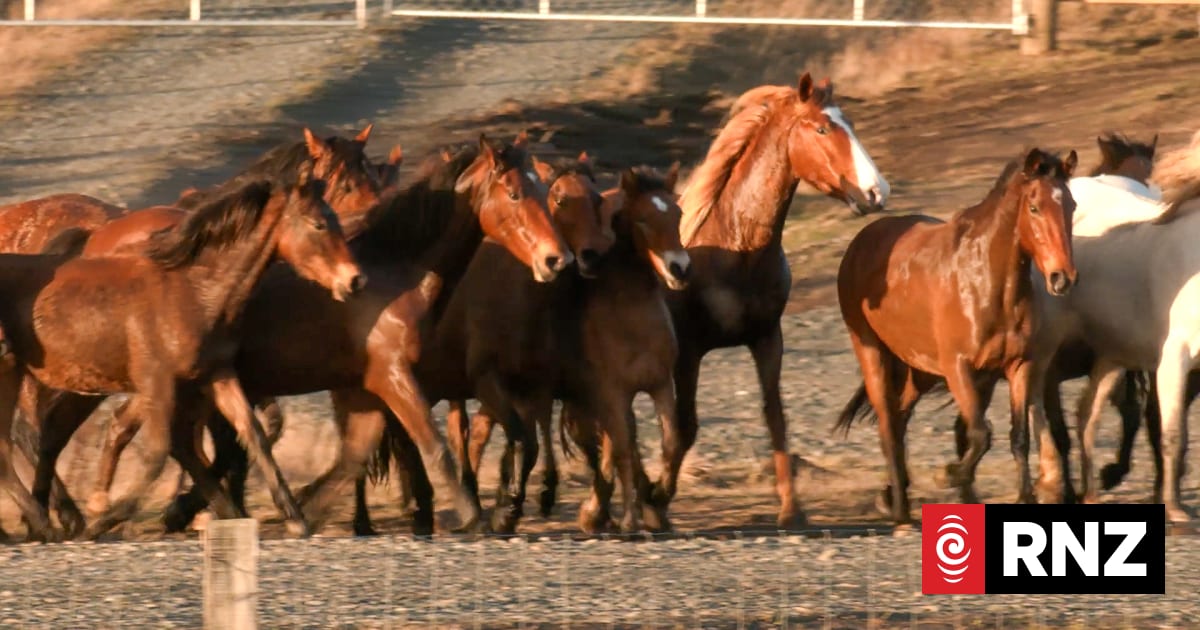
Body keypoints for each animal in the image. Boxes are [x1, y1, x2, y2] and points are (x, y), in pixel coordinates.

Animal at [5, 126, 386, 537]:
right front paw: (188, 509)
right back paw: (67, 515)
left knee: (56, 432)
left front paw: (279, 513)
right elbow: (199, 443)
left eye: (373, 180)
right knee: (44, 431)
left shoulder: (218, 375)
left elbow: (253, 433)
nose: (356, 278)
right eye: (345, 186)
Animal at [82, 134, 572, 536]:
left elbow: (352, 458)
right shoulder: (393, 376)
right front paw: (475, 517)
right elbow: (434, 447)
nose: (558, 260)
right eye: (514, 193)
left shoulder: (364, 389)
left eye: (545, 192)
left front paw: (305, 512)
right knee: (138, 431)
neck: (393, 267)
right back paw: (105, 510)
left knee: (167, 438)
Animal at [657, 72, 890, 528]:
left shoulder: (767, 339)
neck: (734, 247)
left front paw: (791, 509)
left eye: (849, 123)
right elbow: (685, 427)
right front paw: (657, 502)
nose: (877, 192)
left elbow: (775, 417)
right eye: (822, 129)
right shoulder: (689, 353)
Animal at [835, 147, 1078, 525]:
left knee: (900, 421)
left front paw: (1023, 497)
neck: (987, 284)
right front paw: (949, 475)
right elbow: (980, 434)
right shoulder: (958, 368)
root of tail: (861, 242)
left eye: (1071, 206)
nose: (1061, 278)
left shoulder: (1017, 367)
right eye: (1035, 207)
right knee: (889, 427)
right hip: (872, 352)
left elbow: (1018, 437)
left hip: (919, 369)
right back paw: (901, 512)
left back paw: (893, 496)